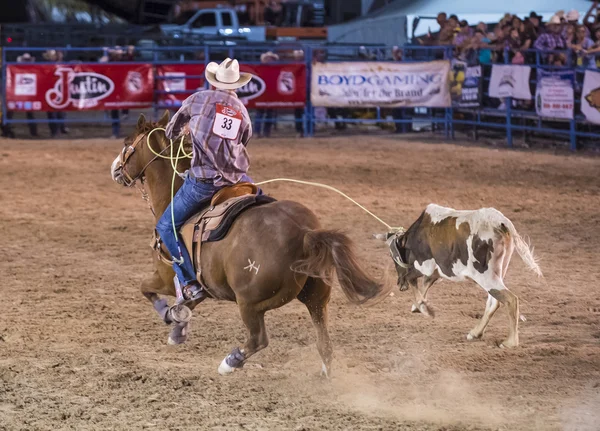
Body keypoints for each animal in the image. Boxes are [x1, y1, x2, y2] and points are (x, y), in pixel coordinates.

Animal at [110, 113, 386, 376]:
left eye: (126, 143)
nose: (115, 170)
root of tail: (304, 232)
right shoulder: (201, 285)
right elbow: (187, 303)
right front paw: (179, 329)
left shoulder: (167, 277)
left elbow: (147, 289)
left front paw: (169, 315)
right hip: (317, 297)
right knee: (324, 343)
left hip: (251, 303)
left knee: (258, 339)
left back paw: (230, 362)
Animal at [378, 204, 540, 350]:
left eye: (393, 257)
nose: (399, 283)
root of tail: (501, 222)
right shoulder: (437, 269)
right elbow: (426, 282)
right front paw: (418, 305)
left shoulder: (425, 265)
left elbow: (413, 278)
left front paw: (424, 308)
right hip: (498, 272)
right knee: (494, 302)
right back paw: (476, 333)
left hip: (485, 276)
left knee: (510, 299)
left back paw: (510, 342)